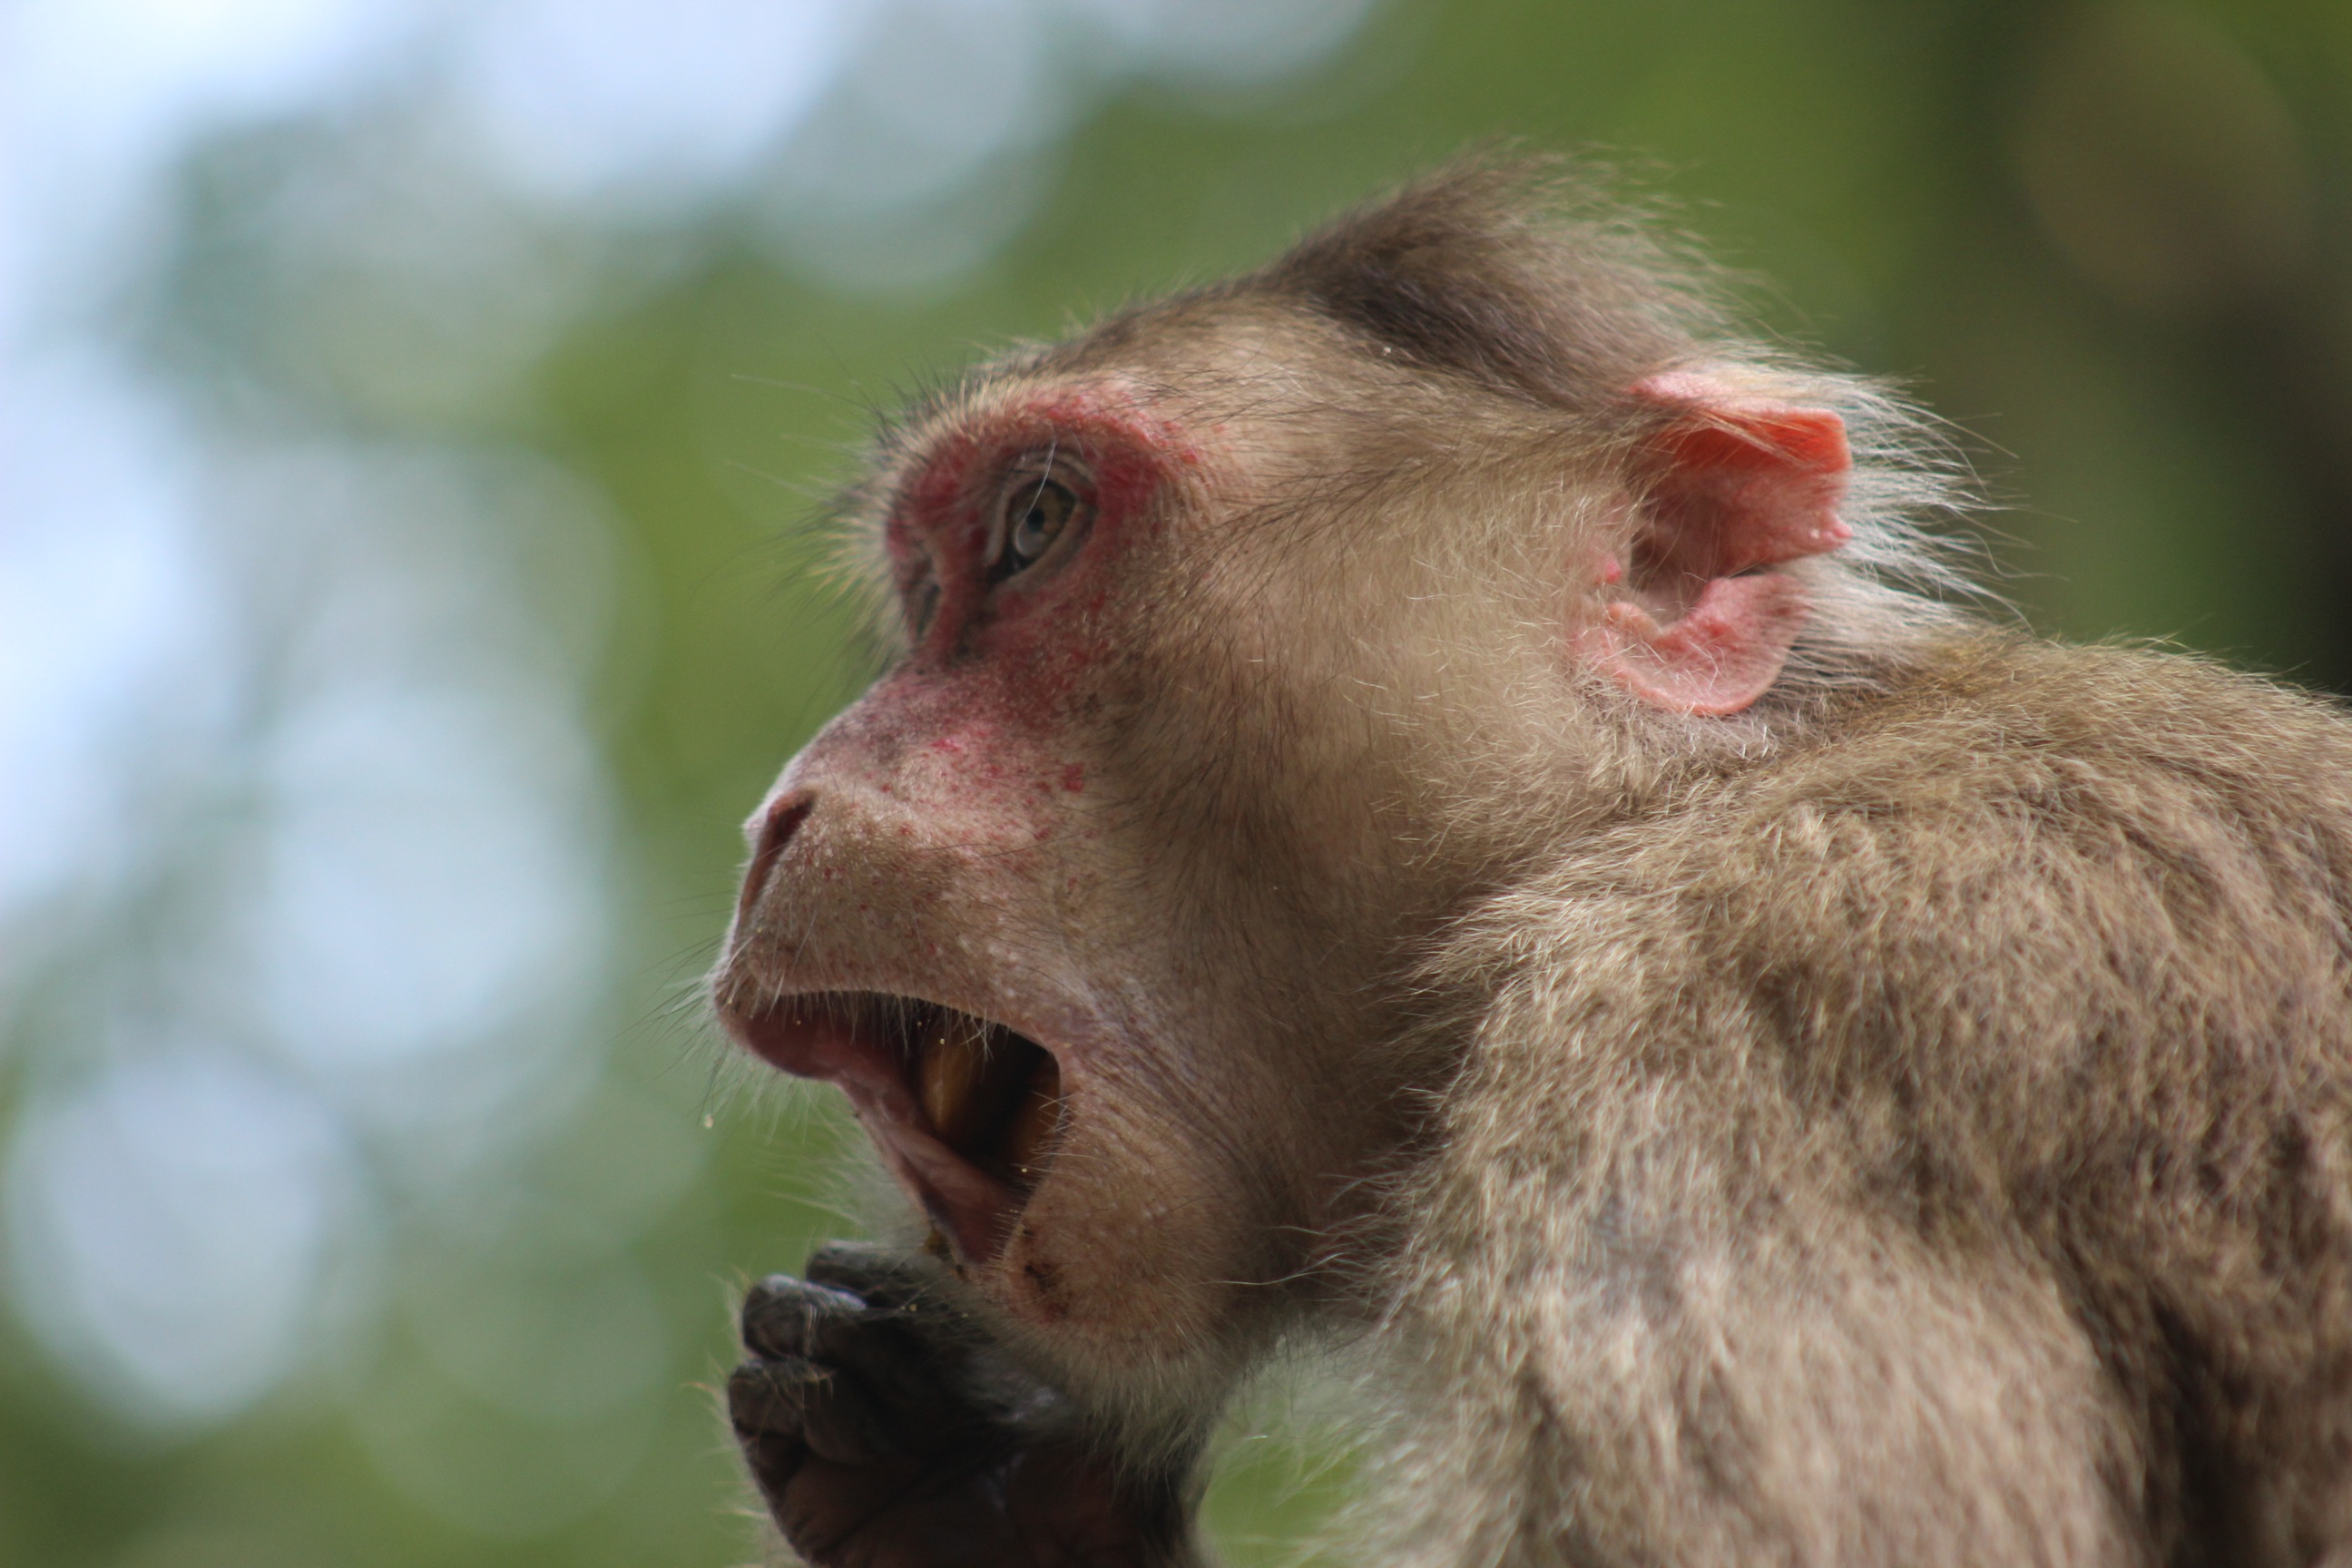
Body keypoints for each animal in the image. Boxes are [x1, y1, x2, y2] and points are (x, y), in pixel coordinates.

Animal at [709, 158, 2352, 1568]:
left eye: (1036, 525)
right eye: (926, 586)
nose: (779, 811)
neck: (1649, 814)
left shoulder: (1729, 1023)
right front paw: (986, 1505)